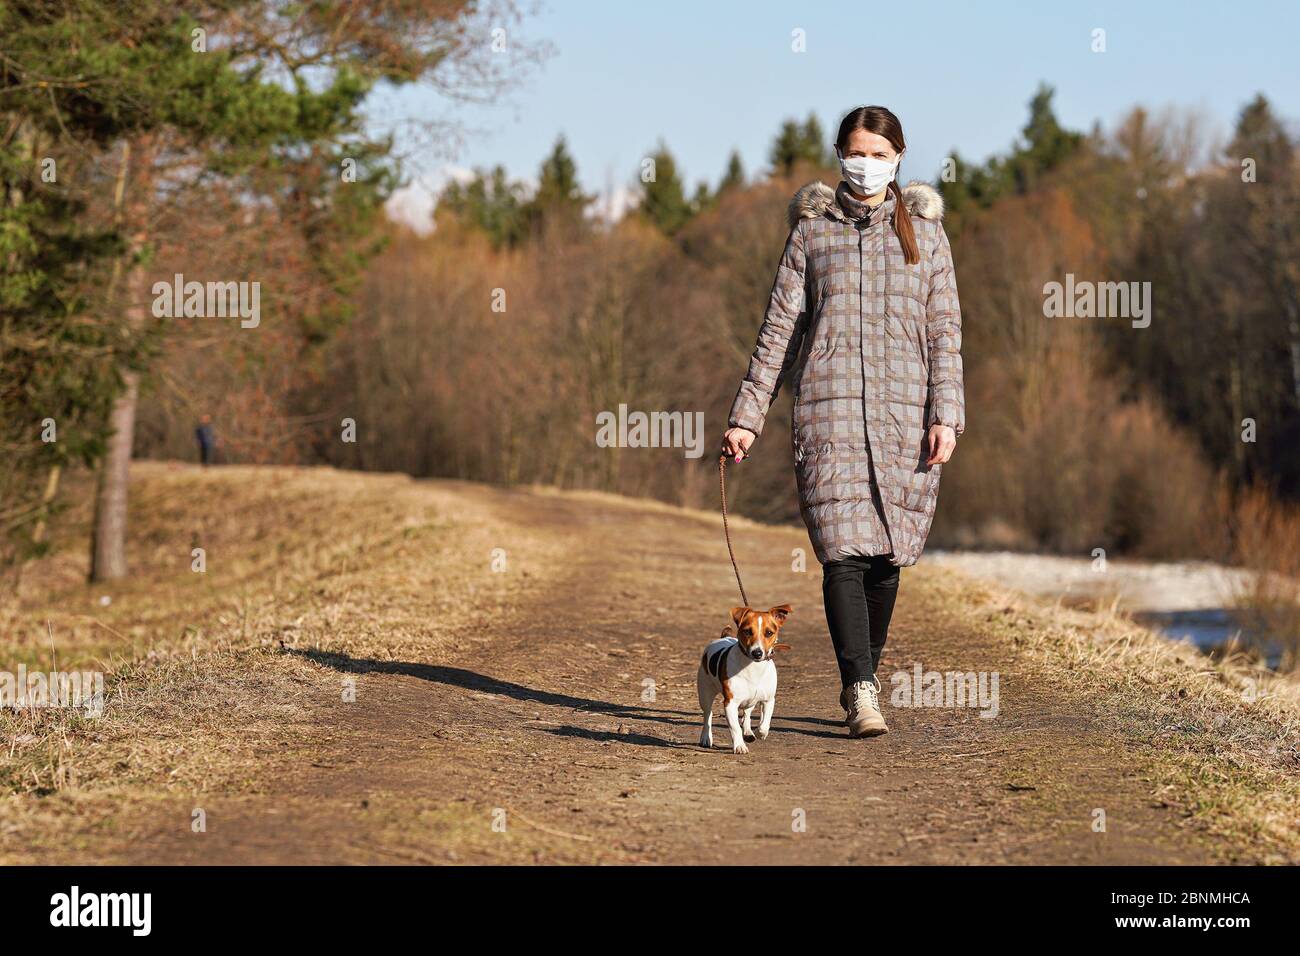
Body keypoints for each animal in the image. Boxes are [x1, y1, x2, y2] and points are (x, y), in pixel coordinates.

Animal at [702, 606, 790, 754]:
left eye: (769, 633)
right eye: (748, 631)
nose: (757, 653)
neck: (753, 667)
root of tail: (725, 637)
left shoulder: (769, 700)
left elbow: (764, 724)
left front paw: (759, 733)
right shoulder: (730, 703)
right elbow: (735, 728)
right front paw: (739, 746)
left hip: (751, 700)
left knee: (747, 714)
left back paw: (748, 732)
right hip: (705, 692)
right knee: (708, 714)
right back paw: (705, 738)